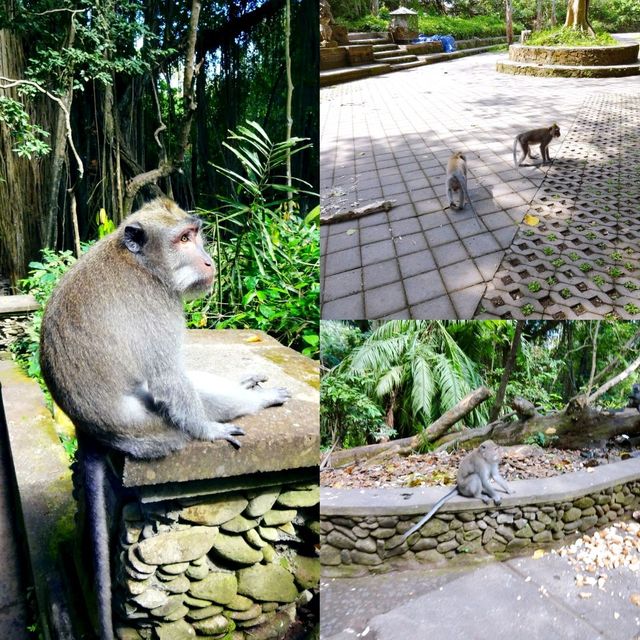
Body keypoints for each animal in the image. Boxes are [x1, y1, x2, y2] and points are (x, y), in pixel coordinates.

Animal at [40, 198, 290, 636]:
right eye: (183, 240)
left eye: (195, 234)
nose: (208, 261)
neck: (144, 265)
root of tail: (88, 433)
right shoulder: (155, 304)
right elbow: (168, 378)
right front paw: (211, 430)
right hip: (153, 432)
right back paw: (251, 404)